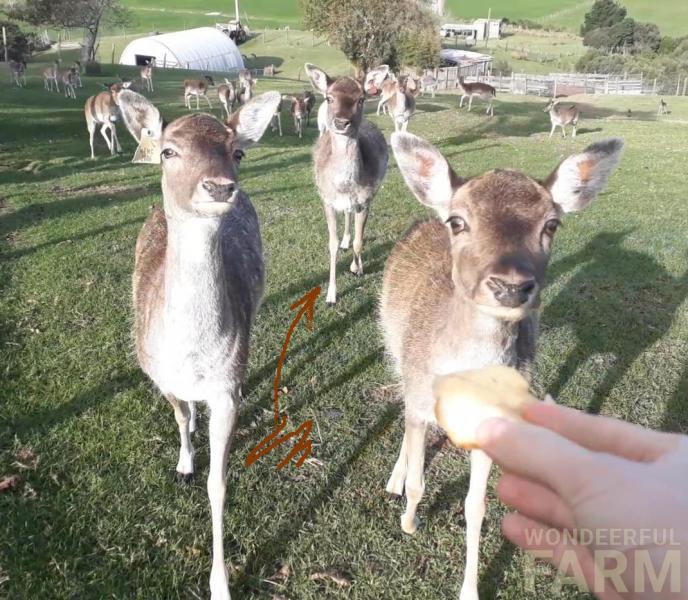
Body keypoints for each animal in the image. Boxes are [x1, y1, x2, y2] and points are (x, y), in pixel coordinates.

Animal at [118, 87, 281, 600]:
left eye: (237, 152)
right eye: (169, 151)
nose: (220, 187)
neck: (191, 355)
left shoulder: (224, 390)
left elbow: (219, 485)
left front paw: (220, 584)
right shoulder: (155, 371)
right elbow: (179, 415)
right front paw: (184, 463)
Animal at [306, 62, 390, 304]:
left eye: (361, 99)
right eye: (328, 97)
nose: (342, 122)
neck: (345, 185)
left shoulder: (366, 200)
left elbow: (360, 241)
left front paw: (357, 268)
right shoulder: (327, 200)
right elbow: (331, 244)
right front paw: (331, 295)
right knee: (346, 215)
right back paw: (344, 240)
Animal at [381, 132, 623, 600]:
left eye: (552, 224)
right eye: (458, 221)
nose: (511, 286)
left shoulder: (492, 426)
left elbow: (477, 506)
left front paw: (470, 589)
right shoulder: (419, 387)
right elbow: (419, 476)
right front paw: (408, 521)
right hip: (391, 342)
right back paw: (394, 479)